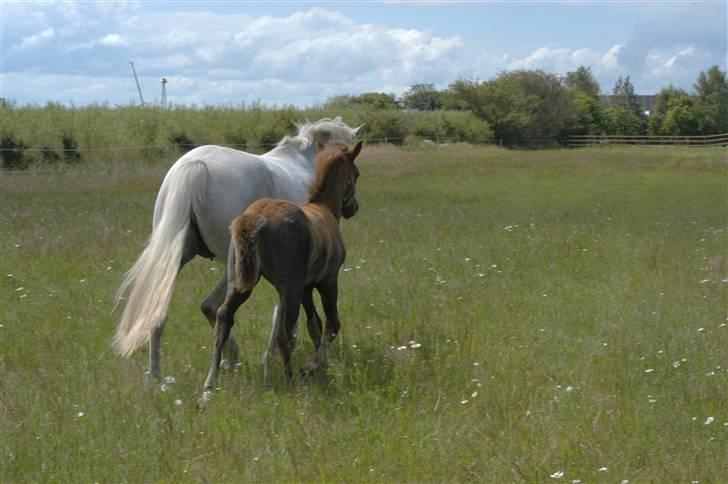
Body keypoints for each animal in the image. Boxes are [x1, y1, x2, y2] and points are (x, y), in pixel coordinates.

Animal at [113, 115, 362, 380]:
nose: (353, 208)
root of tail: (194, 166)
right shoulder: (295, 276)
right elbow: (284, 314)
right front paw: (277, 358)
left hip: (175, 259)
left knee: (166, 310)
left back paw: (161, 377)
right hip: (233, 267)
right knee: (213, 306)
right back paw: (229, 359)